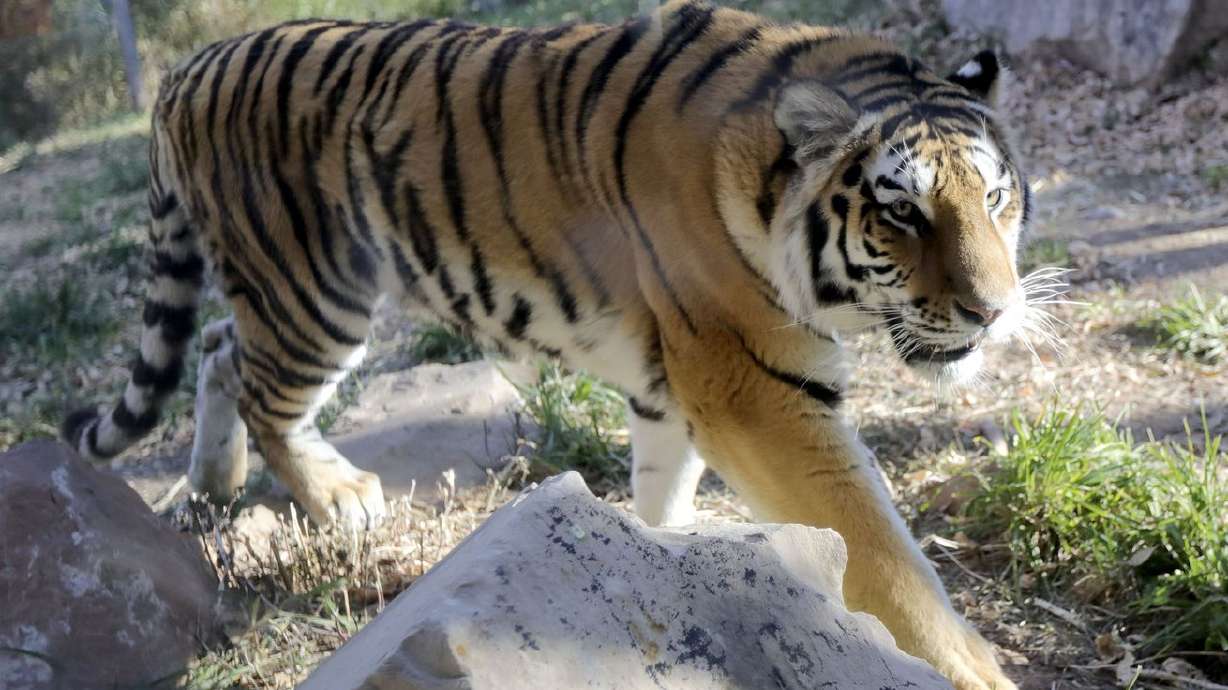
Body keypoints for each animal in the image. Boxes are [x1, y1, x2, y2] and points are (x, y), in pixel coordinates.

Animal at [62, 1, 1038, 686]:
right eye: (903, 212)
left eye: (994, 198)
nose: (995, 312)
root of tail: (187, 68)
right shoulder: (756, 390)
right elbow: (881, 553)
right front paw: (974, 672)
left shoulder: (679, 387)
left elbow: (663, 491)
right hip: (314, 291)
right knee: (263, 391)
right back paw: (337, 498)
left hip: (284, 293)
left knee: (218, 345)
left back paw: (210, 483)